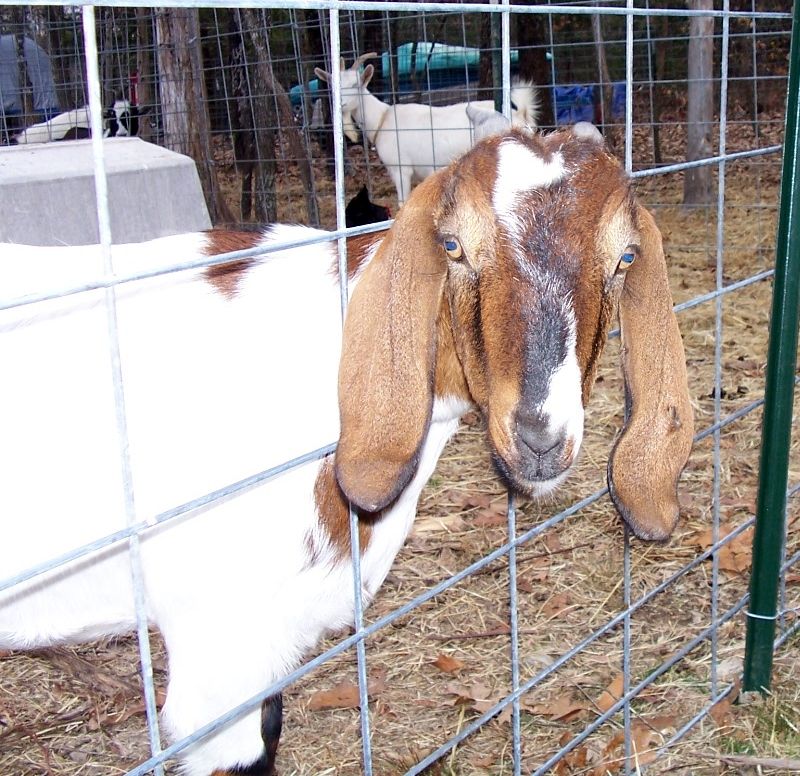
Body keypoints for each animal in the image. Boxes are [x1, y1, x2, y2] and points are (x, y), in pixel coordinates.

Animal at [315, 54, 539, 205]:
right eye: (332, 85)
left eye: (356, 84)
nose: (342, 104)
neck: (382, 118)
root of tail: (521, 114)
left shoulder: (401, 169)